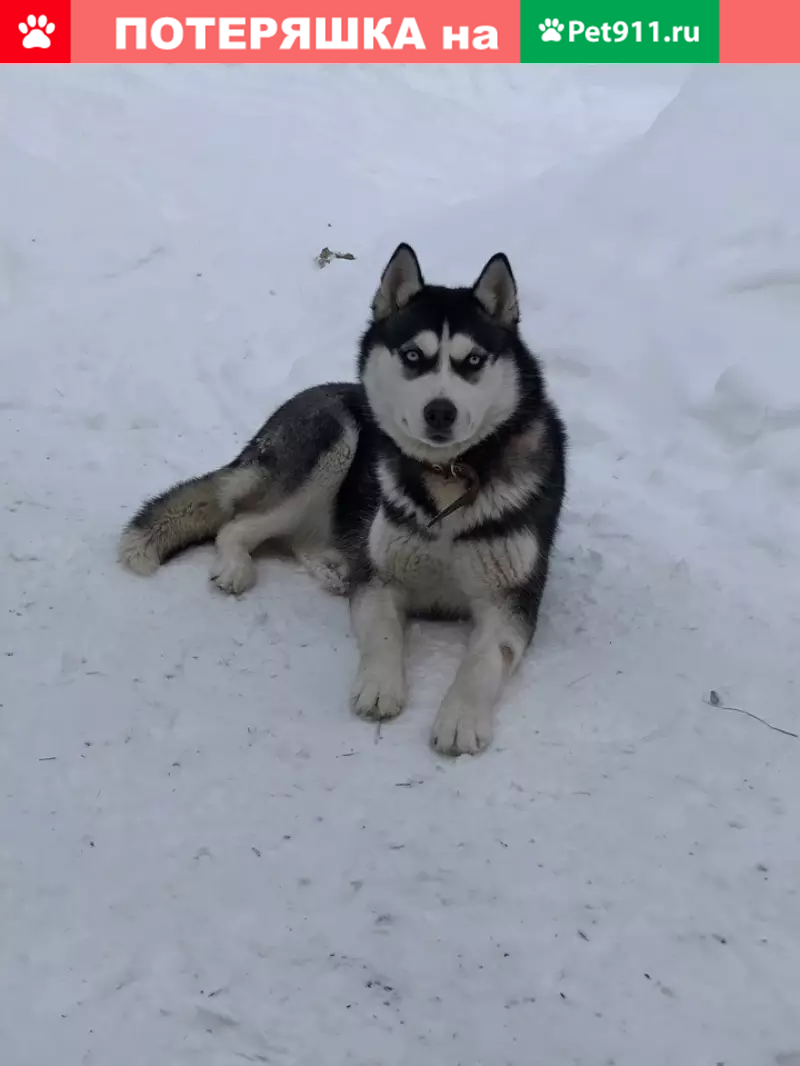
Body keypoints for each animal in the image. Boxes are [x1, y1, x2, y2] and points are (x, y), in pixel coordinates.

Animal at [120, 244, 571, 754]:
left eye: (473, 360)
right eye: (413, 355)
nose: (440, 411)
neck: (449, 477)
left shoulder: (509, 603)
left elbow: (484, 661)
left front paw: (460, 717)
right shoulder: (380, 580)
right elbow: (384, 632)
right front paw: (379, 686)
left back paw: (331, 566)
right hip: (336, 439)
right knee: (236, 524)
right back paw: (240, 567)